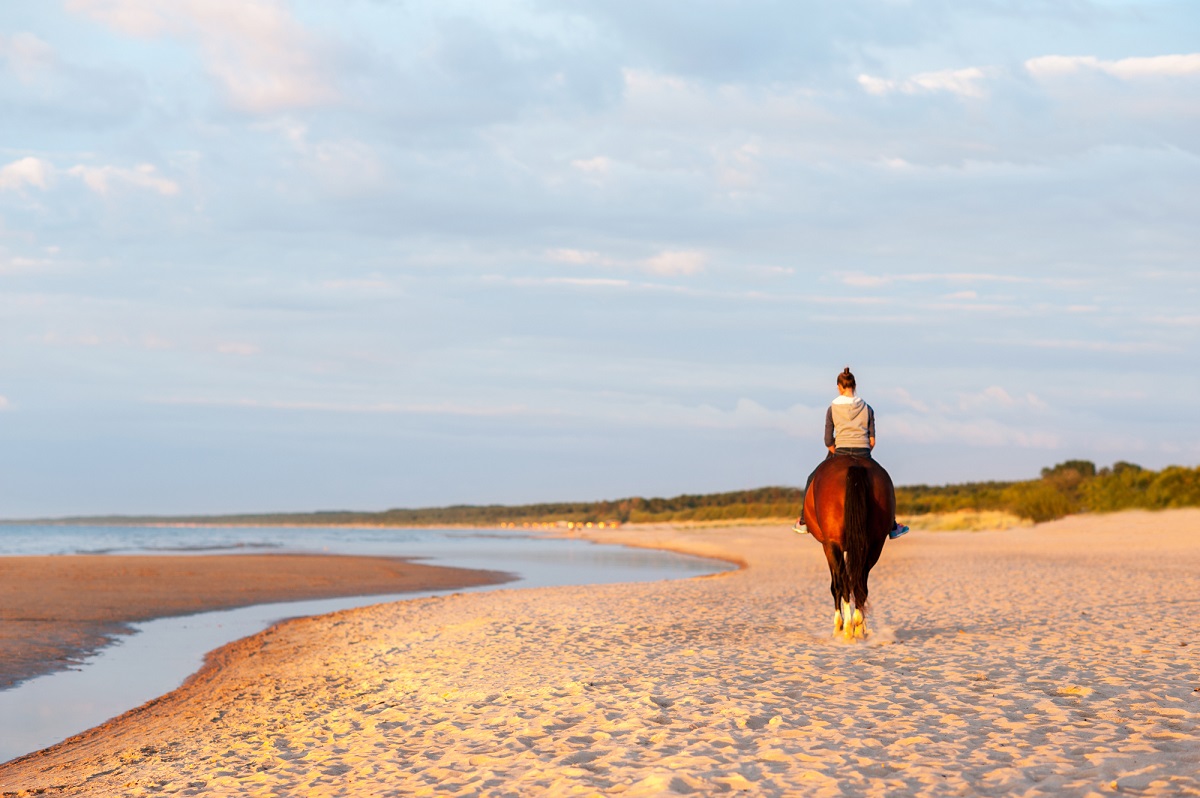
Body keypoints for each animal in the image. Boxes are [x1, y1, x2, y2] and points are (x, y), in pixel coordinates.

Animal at [802, 455, 896, 640]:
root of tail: (854, 464)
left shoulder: (828, 546)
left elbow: (835, 586)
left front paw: (838, 626)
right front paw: (861, 626)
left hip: (834, 545)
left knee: (844, 583)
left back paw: (846, 627)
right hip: (875, 544)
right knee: (860, 582)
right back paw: (858, 626)